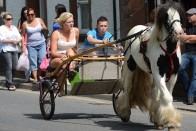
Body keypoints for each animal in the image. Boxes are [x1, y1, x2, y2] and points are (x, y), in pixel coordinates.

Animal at [115, 1, 187, 130]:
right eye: (166, 16)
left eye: (179, 14)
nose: (179, 32)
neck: (168, 51)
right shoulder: (159, 74)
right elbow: (167, 97)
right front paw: (170, 121)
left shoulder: (173, 75)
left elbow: (166, 95)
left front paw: (165, 121)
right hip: (130, 67)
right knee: (128, 88)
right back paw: (124, 113)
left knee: (154, 93)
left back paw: (156, 119)